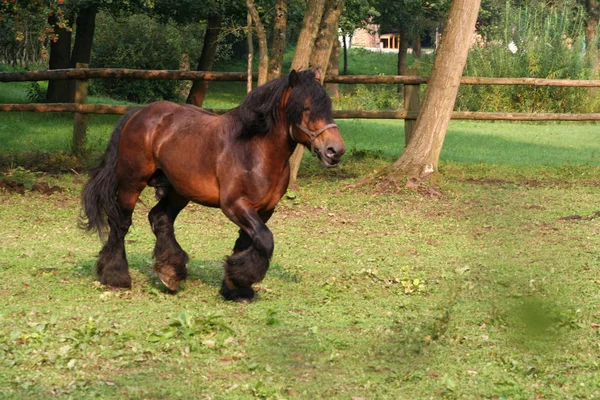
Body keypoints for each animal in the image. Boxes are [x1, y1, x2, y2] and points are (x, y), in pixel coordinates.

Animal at [82, 69, 350, 300]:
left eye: (328, 107)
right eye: (305, 108)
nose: (334, 150)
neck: (254, 149)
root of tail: (138, 113)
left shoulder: (263, 209)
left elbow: (248, 242)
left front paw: (235, 287)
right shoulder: (235, 205)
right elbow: (265, 239)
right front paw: (241, 279)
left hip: (179, 191)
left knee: (160, 218)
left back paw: (170, 273)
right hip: (131, 183)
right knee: (121, 224)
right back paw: (116, 277)